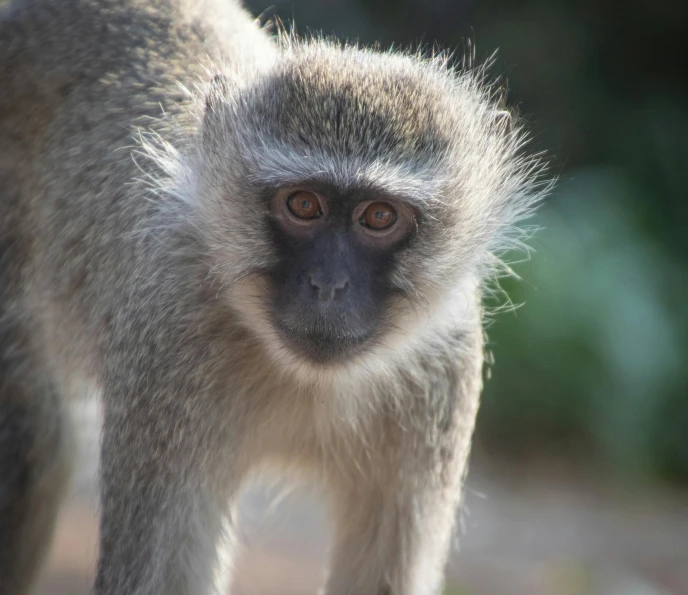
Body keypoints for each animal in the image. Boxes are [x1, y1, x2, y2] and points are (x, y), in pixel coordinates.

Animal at [0, 1, 548, 595]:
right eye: (303, 205)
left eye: (379, 217)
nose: (328, 285)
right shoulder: (166, 341)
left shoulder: (445, 365)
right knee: (37, 439)